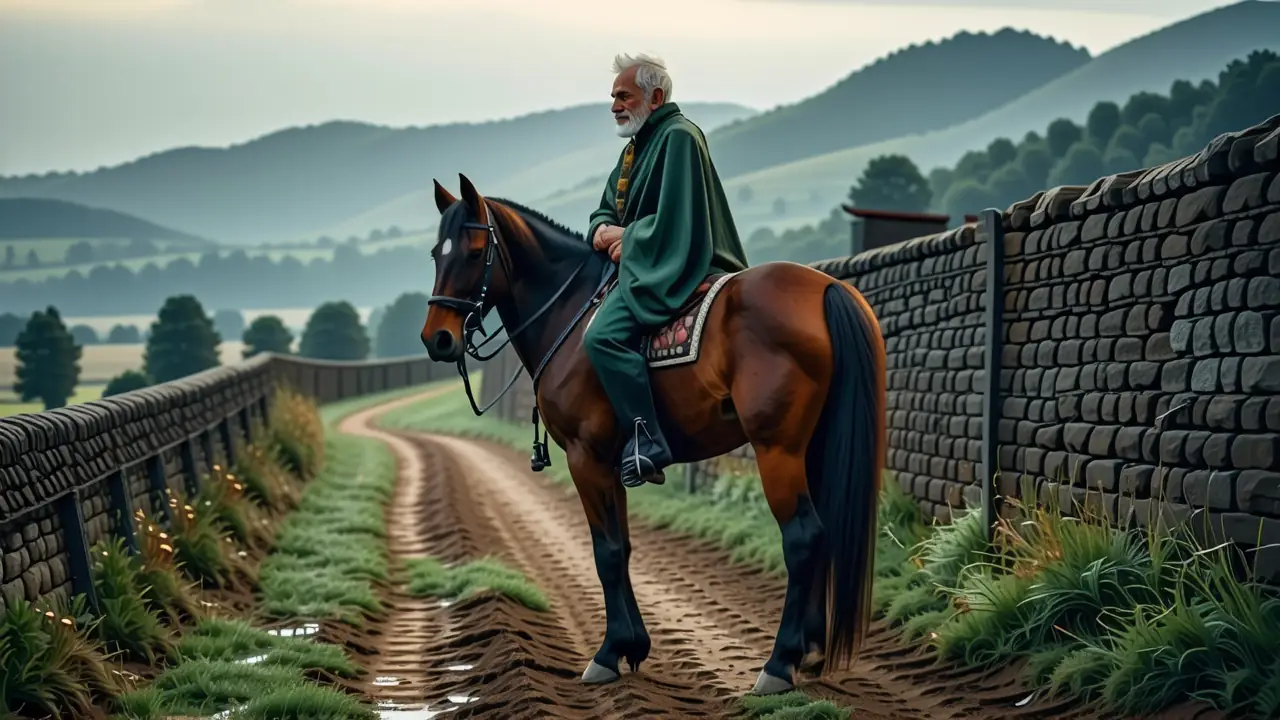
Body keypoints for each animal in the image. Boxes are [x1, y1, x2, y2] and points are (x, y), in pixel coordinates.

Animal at [420, 173, 887, 696]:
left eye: (475, 250)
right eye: (436, 253)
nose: (437, 339)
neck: (570, 312)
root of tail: (827, 287)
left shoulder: (586, 457)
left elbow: (606, 552)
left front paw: (608, 652)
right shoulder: (609, 463)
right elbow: (621, 548)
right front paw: (632, 645)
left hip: (778, 450)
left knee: (804, 538)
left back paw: (779, 662)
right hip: (812, 448)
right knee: (822, 536)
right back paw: (809, 650)